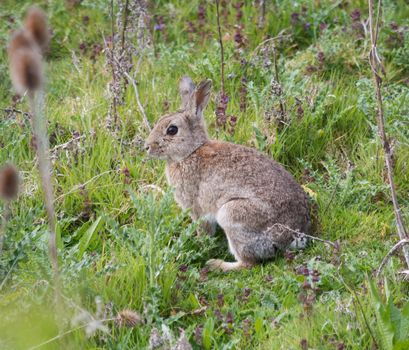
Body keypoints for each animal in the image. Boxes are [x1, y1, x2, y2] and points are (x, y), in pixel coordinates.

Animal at [146, 76, 310, 272]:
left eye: (172, 130)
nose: (146, 147)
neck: (190, 152)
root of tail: (293, 235)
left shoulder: (197, 209)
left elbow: (204, 230)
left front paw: (199, 244)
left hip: (231, 214)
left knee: (248, 263)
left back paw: (216, 264)